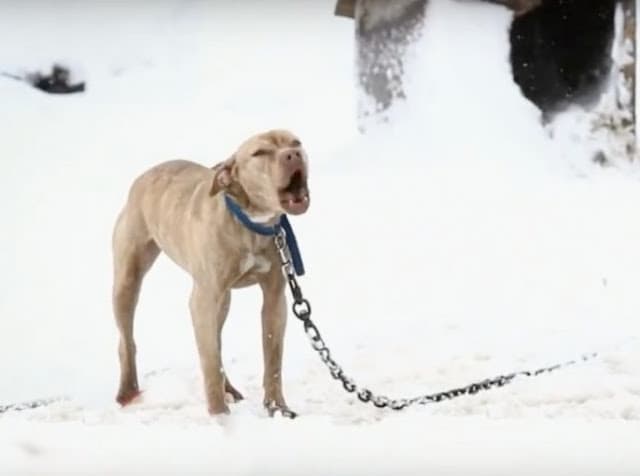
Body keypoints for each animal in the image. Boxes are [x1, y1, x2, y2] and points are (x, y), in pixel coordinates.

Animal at [111, 129, 312, 416]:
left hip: (222, 300)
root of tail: (144, 176)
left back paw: (229, 389)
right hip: (127, 282)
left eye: (296, 142)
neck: (249, 222)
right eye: (260, 153)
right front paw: (219, 415)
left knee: (216, 341)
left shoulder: (274, 300)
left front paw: (277, 408)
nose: (293, 154)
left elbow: (272, 359)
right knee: (127, 340)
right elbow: (209, 360)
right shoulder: (203, 299)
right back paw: (127, 392)